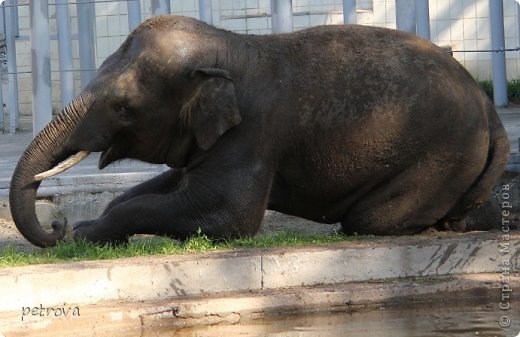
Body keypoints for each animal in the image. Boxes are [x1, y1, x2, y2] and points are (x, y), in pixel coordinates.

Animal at [10, 15, 510, 247]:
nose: (57, 223)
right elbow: (168, 186)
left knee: (370, 221)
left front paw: (84, 233)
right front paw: (89, 227)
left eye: (122, 107)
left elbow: (227, 216)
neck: (232, 47)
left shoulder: (253, 131)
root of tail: (490, 109)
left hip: (442, 156)